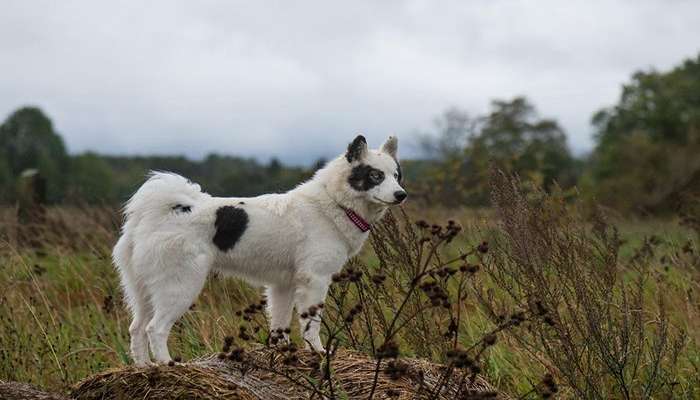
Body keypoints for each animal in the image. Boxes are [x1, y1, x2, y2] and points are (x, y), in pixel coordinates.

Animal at [113, 135, 408, 366]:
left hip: (143, 290)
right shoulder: (315, 281)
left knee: (136, 328)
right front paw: (319, 353)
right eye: (375, 176)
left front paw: (284, 356)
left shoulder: (283, 286)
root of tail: (161, 212)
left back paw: (145, 367)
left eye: (396, 176)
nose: (401, 195)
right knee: (155, 329)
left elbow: (280, 327)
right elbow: (311, 326)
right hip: (179, 287)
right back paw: (167, 364)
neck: (334, 202)